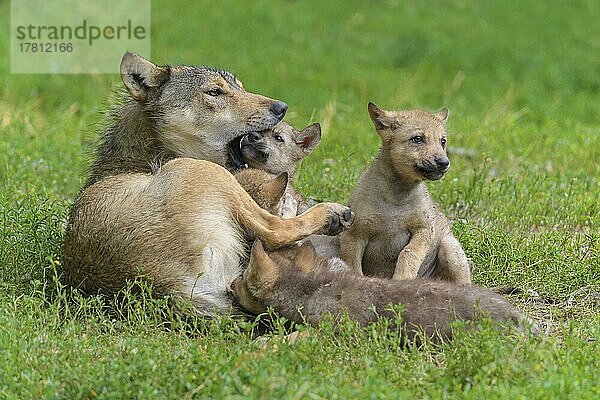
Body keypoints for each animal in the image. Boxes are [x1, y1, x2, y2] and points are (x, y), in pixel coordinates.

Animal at [230, 239, 536, 342]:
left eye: (243, 279)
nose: (229, 284)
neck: (312, 288)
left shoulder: (334, 330)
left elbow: (288, 338)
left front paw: (261, 343)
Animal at [340, 103, 472, 284]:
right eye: (417, 139)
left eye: (442, 141)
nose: (444, 162)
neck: (397, 198)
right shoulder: (353, 235)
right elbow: (353, 267)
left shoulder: (423, 230)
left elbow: (408, 254)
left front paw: (402, 279)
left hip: (451, 248)